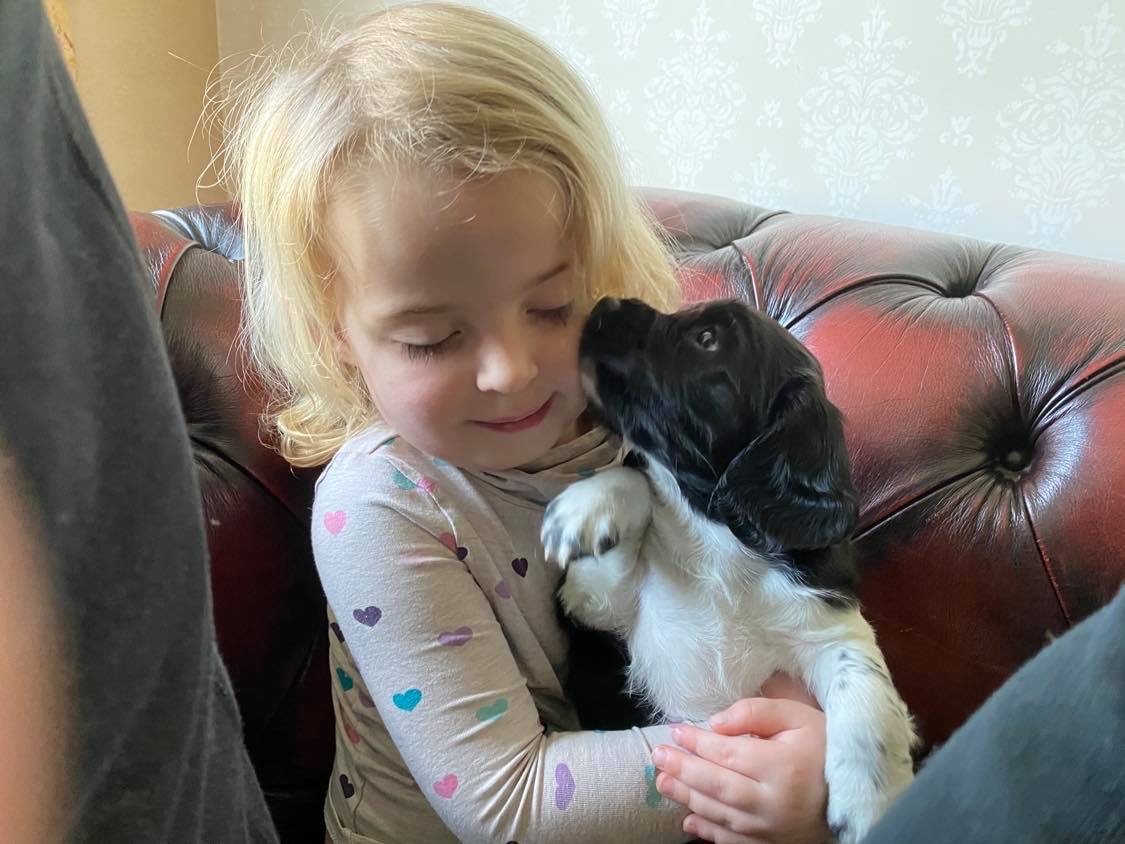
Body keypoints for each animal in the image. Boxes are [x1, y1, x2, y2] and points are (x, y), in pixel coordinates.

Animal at [541, 297, 917, 843]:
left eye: (707, 340)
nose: (607, 303)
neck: (715, 540)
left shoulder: (830, 625)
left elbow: (867, 694)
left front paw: (872, 801)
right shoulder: (593, 607)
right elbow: (636, 482)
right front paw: (585, 505)